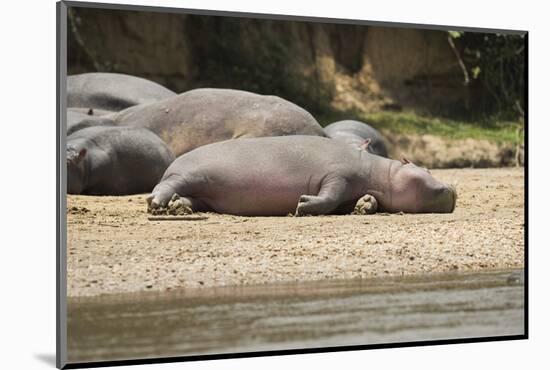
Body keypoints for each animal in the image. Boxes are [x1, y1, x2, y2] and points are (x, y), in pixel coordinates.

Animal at [147, 136, 458, 217]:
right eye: (427, 169)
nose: (453, 188)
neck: (382, 172)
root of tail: (173, 161)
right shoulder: (337, 175)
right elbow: (329, 196)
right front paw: (302, 205)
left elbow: (364, 200)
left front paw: (365, 205)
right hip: (188, 174)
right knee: (166, 184)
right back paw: (157, 205)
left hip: (204, 193)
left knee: (189, 198)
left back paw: (178, 207)